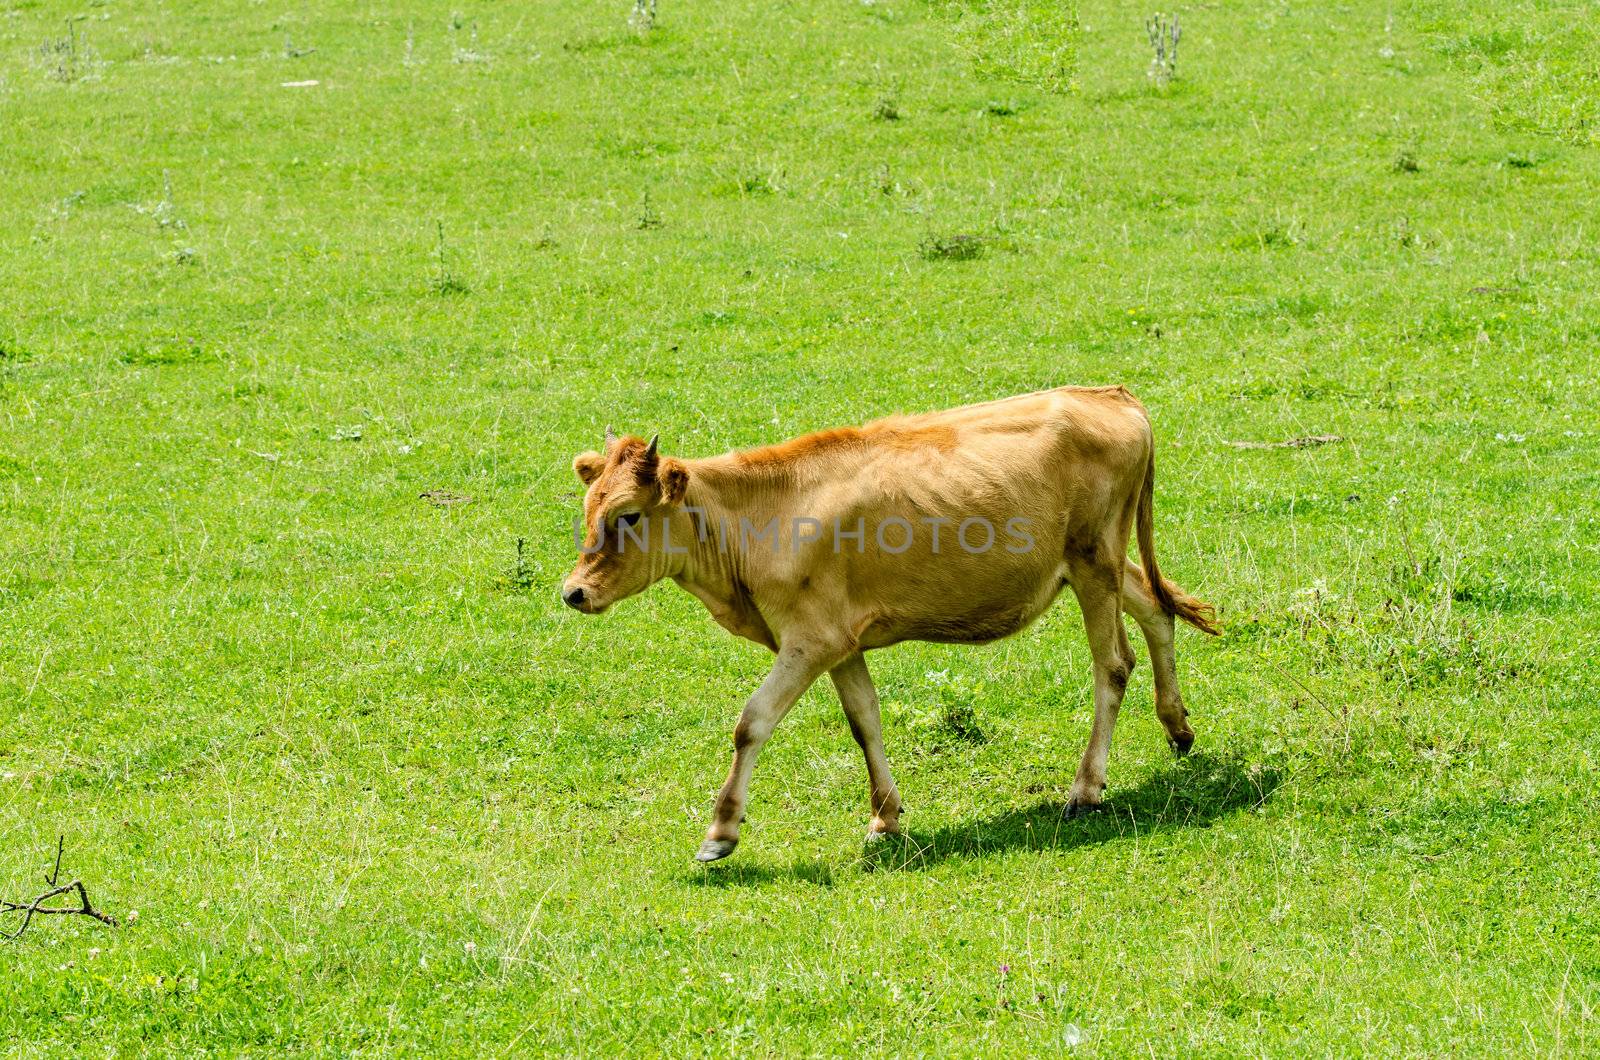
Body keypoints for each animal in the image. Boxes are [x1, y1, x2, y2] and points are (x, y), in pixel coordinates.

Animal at [560, 390, 1209, 864]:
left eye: (629, 515)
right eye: (588, 509)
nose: (573, 592)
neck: (756, 522)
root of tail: (1110, 395)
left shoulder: (810, 641)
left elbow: (752, 723)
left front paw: (721, 832)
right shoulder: (840, 641)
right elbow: (864, 720)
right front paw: (885, 817)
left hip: (1093, 559)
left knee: (1112, 664)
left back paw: (1086, 789)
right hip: (1097, 562)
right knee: (1157, 608)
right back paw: (1177, 726)